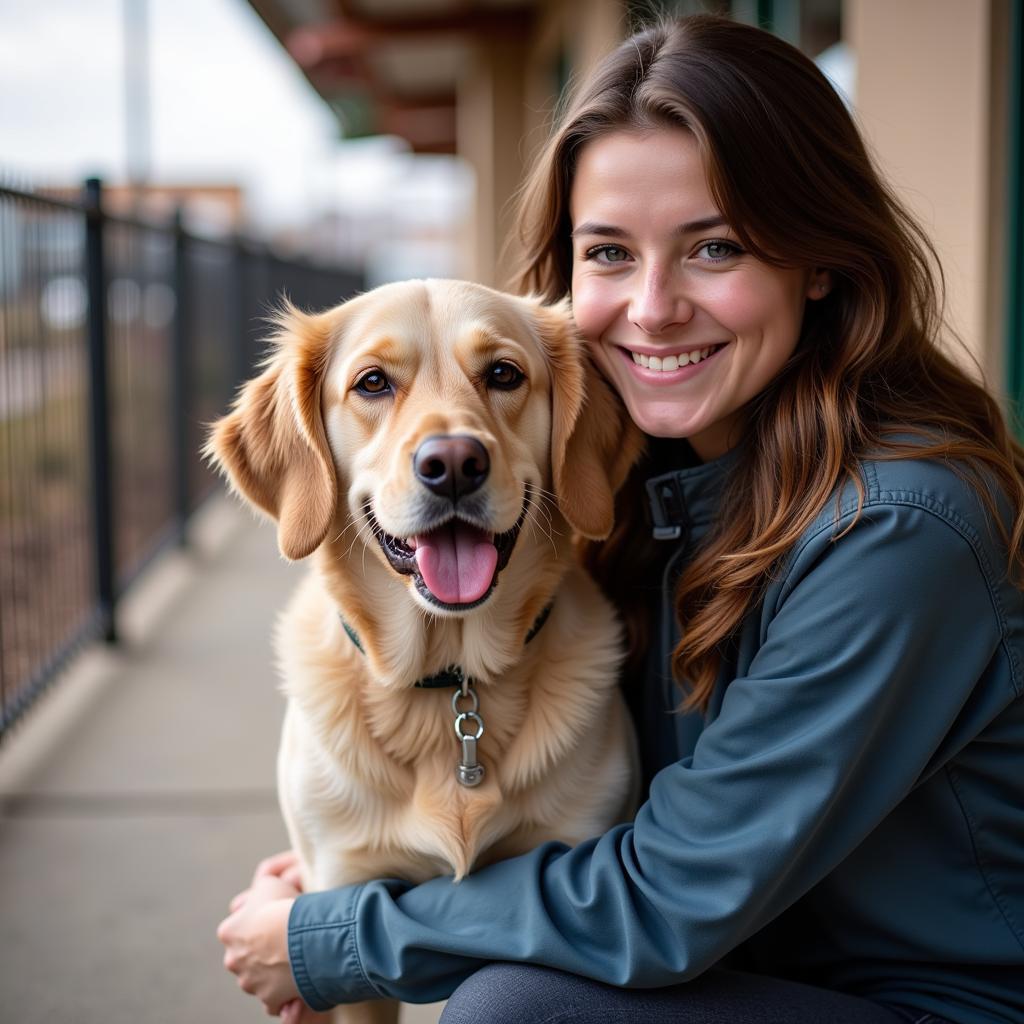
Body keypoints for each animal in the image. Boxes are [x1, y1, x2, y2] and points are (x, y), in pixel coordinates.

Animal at [204, 280, 643, 1024]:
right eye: (373, 383)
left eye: (504, 374)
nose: (455, 464)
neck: (450, 682)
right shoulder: (345, 892)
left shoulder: (578, 851)